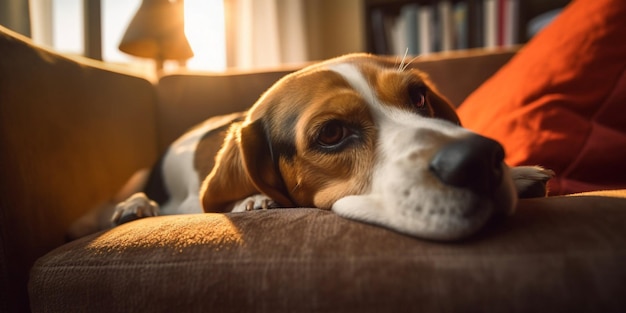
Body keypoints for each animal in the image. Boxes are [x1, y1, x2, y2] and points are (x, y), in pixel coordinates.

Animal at [72, 53, 552, 240]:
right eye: (332, 134)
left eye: (418, 97)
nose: (479, 159)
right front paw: (252, 199)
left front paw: (520, 174)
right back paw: (134, 207)